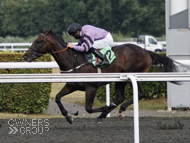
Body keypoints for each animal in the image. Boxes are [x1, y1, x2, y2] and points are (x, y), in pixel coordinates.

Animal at [23, 29, 179, 124]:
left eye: (38, 41)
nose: (25, 55)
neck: (75, 60)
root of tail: (146, 51)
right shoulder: (71, 85)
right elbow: (57, 97)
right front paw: (68, 117)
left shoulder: (91, 87)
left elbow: (88, 108)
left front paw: (104, 108)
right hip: (120, 79)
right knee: (120, 97)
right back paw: (109, 112)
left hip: (132, 74)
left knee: (139, 94)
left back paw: (115, 110)